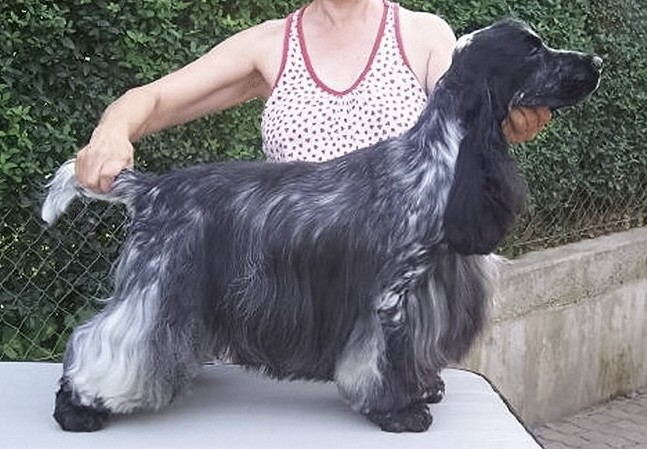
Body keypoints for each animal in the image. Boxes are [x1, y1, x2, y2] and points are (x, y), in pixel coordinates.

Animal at [42, 19, 601, 433]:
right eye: (533, 52)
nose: (597, 62)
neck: (440, 157)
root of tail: (151, 188)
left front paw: (424, 388)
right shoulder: (391, 295)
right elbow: (386, 358)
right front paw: (401, 411)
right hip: (158, 285)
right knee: (105, 343)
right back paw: (78, 408)